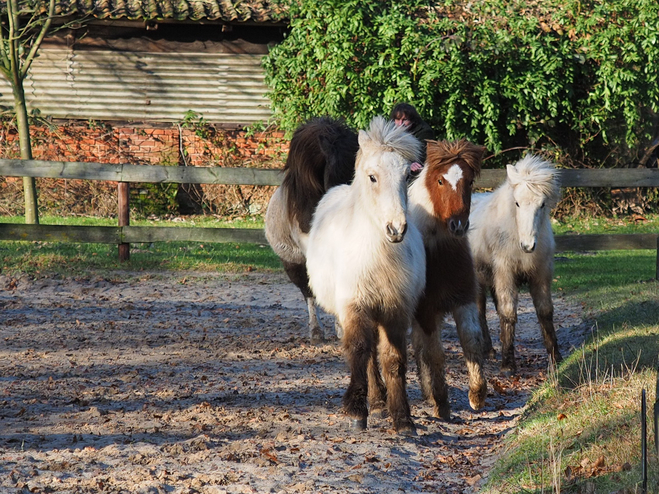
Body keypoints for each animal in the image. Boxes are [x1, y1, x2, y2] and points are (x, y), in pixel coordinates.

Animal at [306, 116, 426, 432]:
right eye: (372, 177)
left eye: (406, 177)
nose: (396, 229)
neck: (378, 256)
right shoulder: (355, 306)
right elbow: (360, 351)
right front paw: (357, 411)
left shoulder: (396, 310)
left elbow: (393, 359)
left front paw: (402, 417)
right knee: (367, 353)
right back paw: (374, 401)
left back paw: (381, 403)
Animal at [408, 139, 490, 420]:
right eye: (440, 180)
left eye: (470, 182)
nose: (458, 225)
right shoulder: (426, 311)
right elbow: (435, 353)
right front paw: (442, 404)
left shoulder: (463, 300)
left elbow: (472, 341)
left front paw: (477, 396)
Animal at [470, 153, 564, 370]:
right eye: (517, 203)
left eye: (542, 204)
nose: (528, 245)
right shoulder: (505, 274)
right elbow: (508, 313)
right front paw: (508, 363)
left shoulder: (540, 274)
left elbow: (545, 311)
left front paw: (555, 357)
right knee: (480, 311)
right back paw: (487, 350)